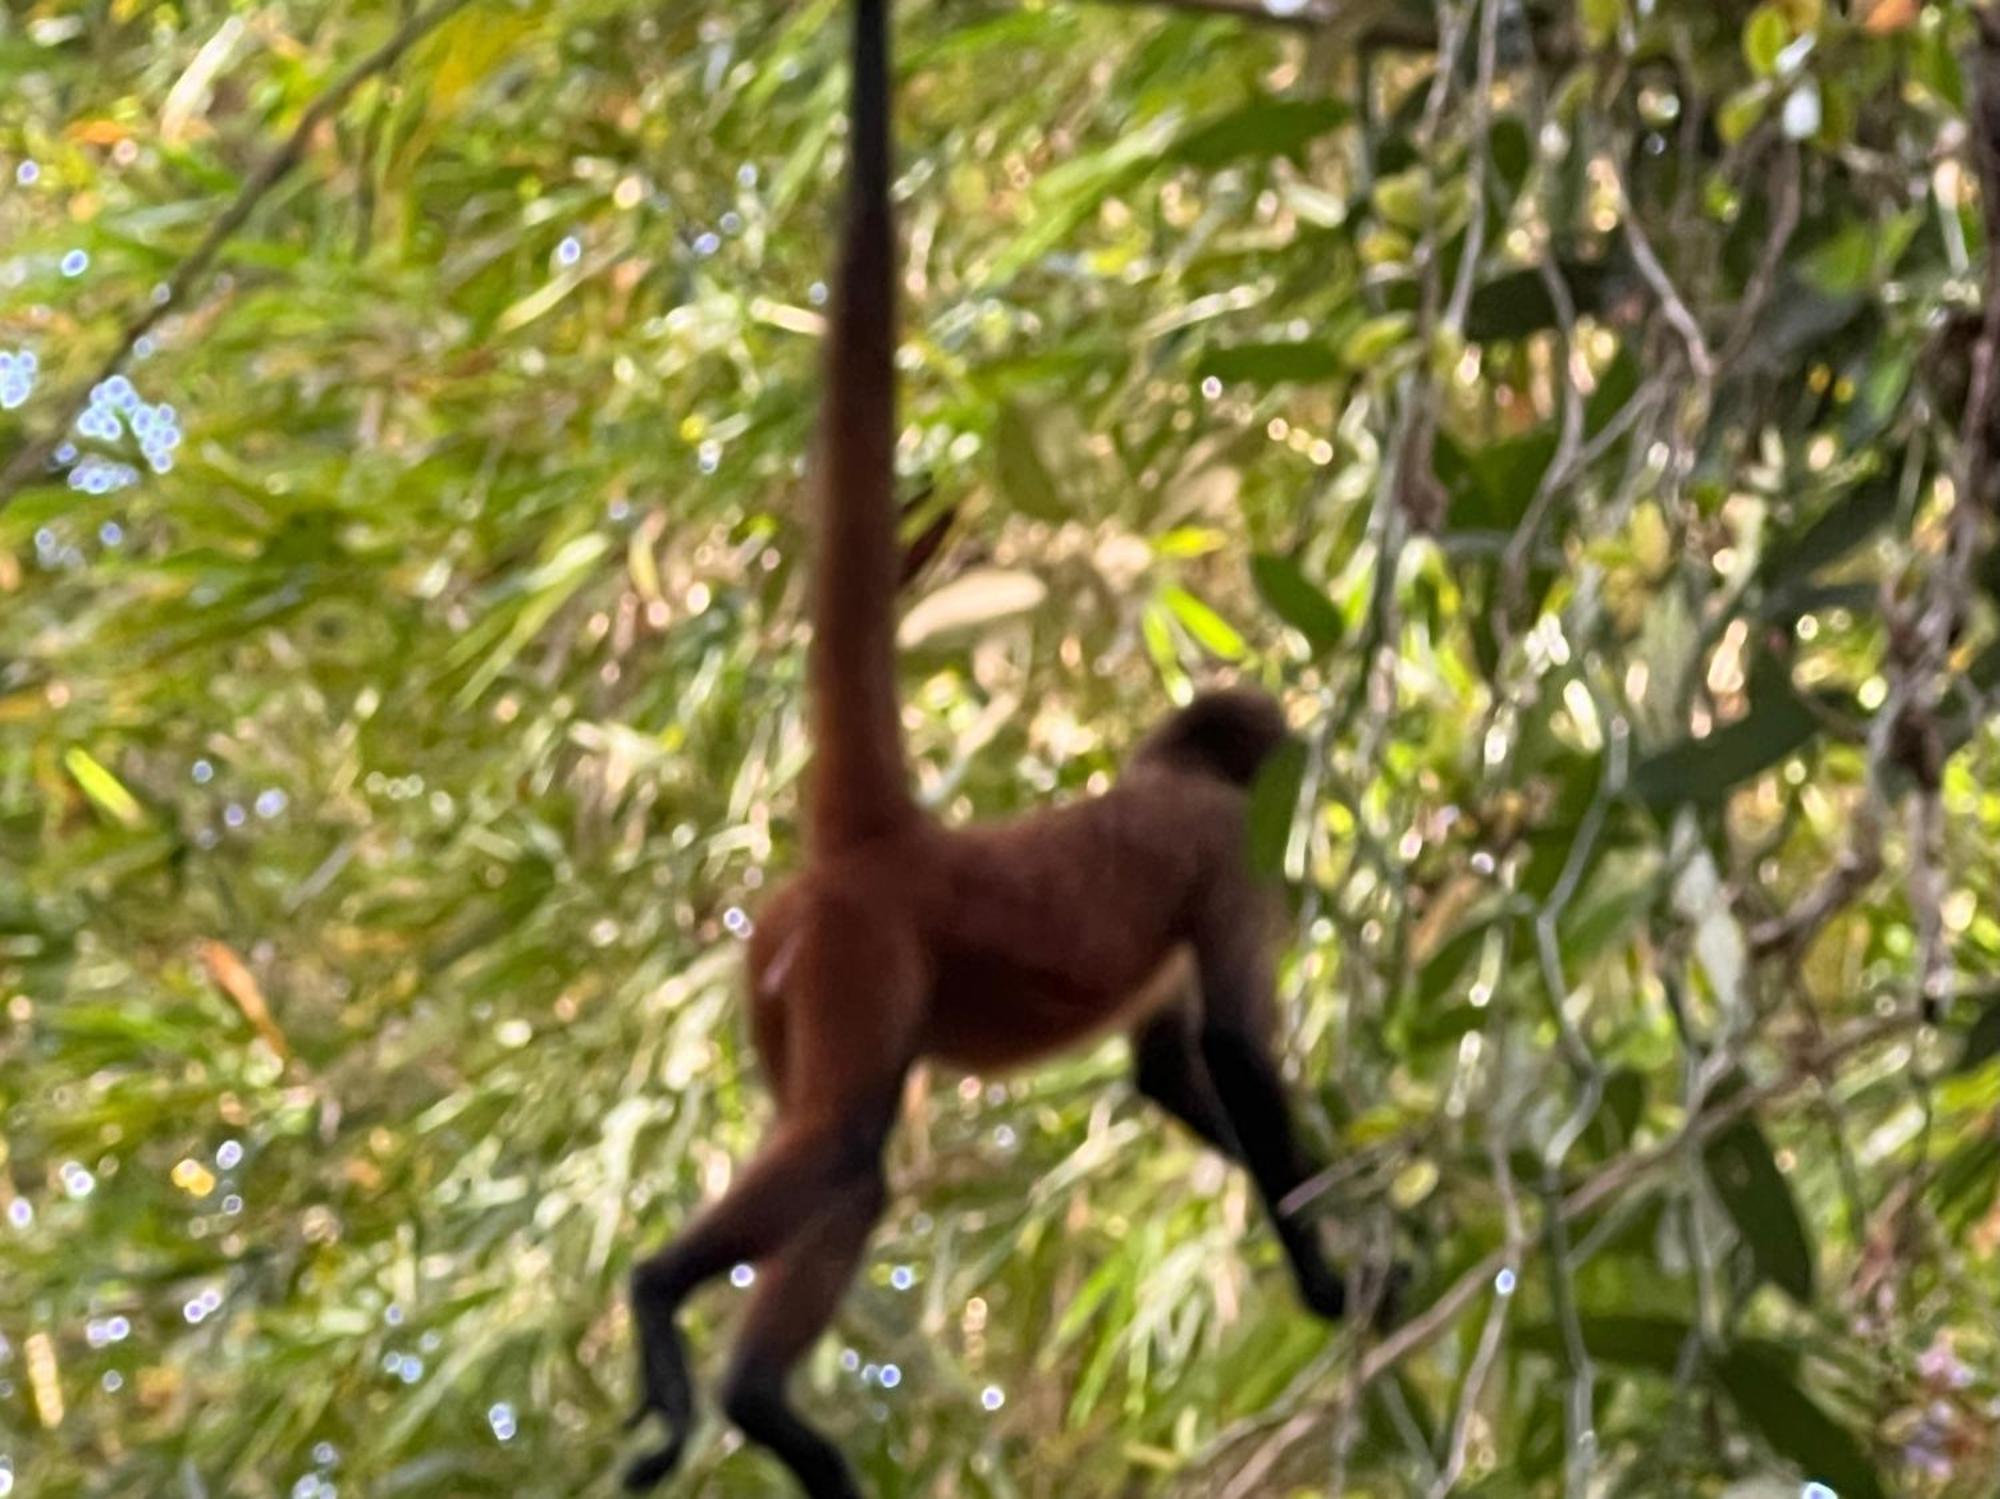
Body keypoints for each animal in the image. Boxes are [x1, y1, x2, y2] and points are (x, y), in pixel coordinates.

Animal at [620, 5, 1376, 1495]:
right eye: (1266, 775)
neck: (1168, 773)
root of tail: (891, 841)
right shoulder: (1225, 849)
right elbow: (1236, 1048)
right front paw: (1334, 1277)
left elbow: (1166, 1066)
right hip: (858, 954)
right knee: (848, 1138)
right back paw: (657, 1296)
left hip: (781, 981)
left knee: (852, 1167)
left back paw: (757, 1401)